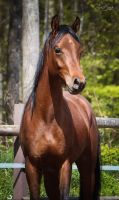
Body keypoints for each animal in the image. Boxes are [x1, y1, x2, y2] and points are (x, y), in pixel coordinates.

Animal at [19, 14, 100, 199]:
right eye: (57, 49)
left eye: (80, 51)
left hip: (87, 168)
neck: (46, 119)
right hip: (50, 174)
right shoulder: (32, 166)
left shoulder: (65, 164)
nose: (79, 83)